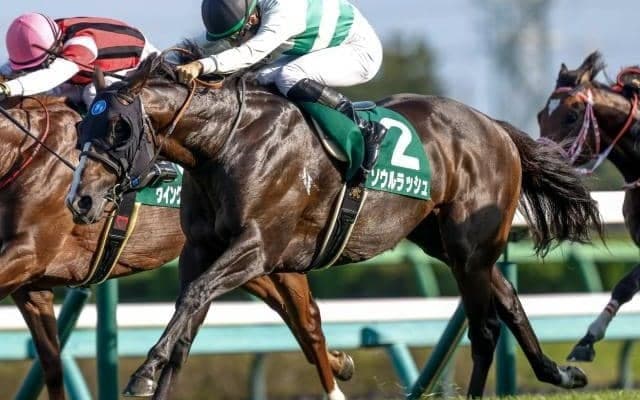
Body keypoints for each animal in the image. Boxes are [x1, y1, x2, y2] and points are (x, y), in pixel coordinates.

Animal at [0, 96, 355, 400]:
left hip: (265, 247)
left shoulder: (27, 253)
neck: (22, 152)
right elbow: (51, 364)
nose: (80, 202)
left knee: (306, 318)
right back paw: (339, 362)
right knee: (295, 314)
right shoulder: (32, 288)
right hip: (241, 261)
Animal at [65, 48, 603, 399]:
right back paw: (559, 373)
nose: (81, 200)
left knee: (485, 328)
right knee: (506, 299)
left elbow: (195, 298)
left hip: (469, 245)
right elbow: (186, 324)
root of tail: (495, 127)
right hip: (447, 242)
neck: (225, 144)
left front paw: (141, 374)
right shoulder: (200, 250)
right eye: (82, 127)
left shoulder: (259, 247)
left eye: (120, 128)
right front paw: (155, 373)